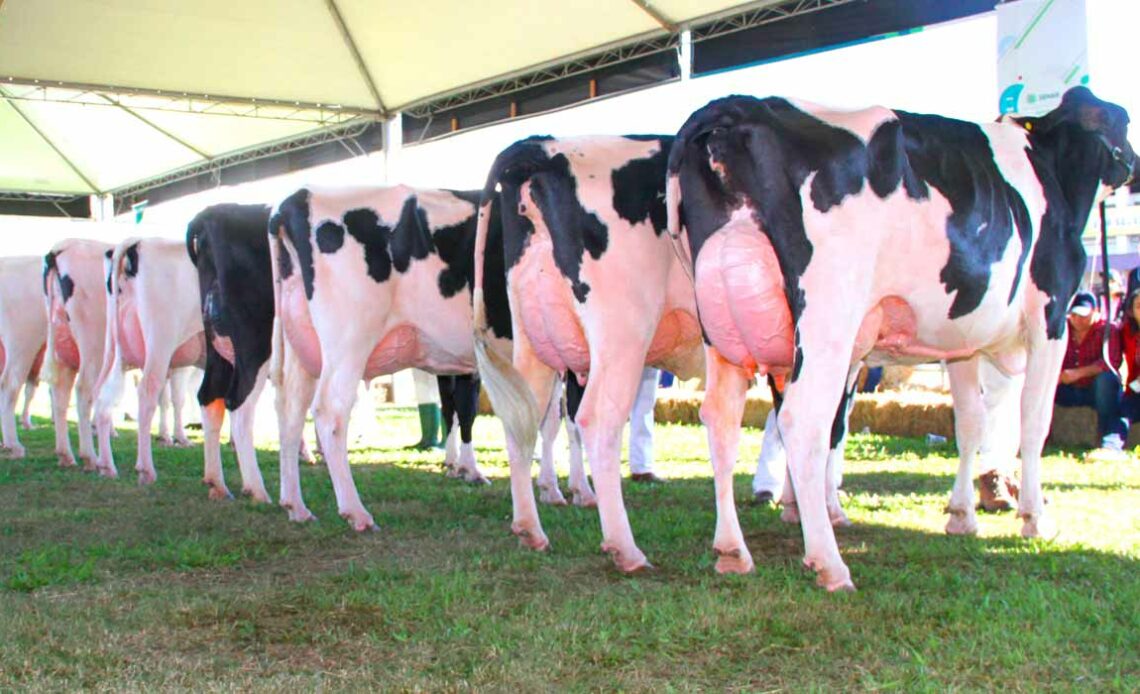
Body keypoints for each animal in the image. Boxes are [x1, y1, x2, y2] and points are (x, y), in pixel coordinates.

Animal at [665, 83, 1135, 588]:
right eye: (1121, 120)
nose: (1132, 163)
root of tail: (737, 106)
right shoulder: (1051, 317)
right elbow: (1034, 420)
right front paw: (1034, 518)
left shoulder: (963, 341)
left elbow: (969, 423)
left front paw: (962, 516)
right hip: (827, 316)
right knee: (802, 420)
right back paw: (830, 562)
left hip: (722, 325)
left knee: (722, 419)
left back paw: (732, 550)